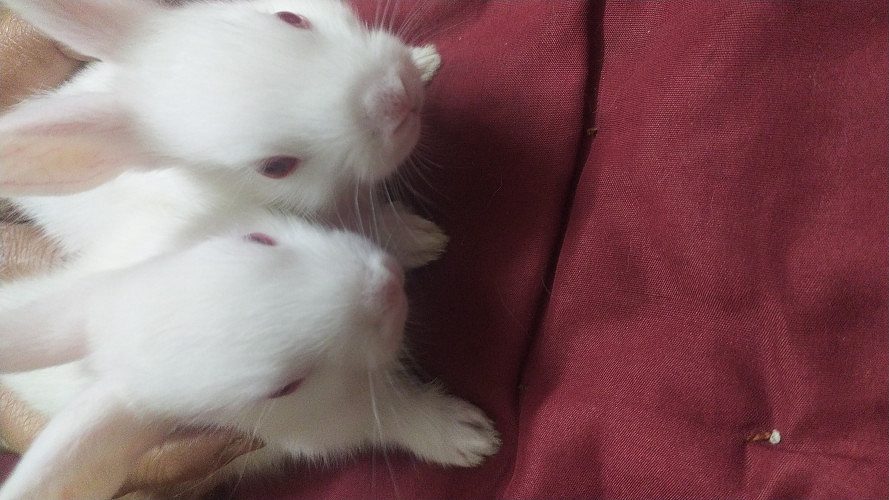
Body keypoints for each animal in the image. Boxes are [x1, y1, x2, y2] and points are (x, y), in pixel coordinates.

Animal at [0, 213, 499, 500]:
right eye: (285, 387)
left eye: (259, 239)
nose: (388, 285)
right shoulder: (335, 423)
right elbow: (397, 415)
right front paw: (470, 438)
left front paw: (419, 238)